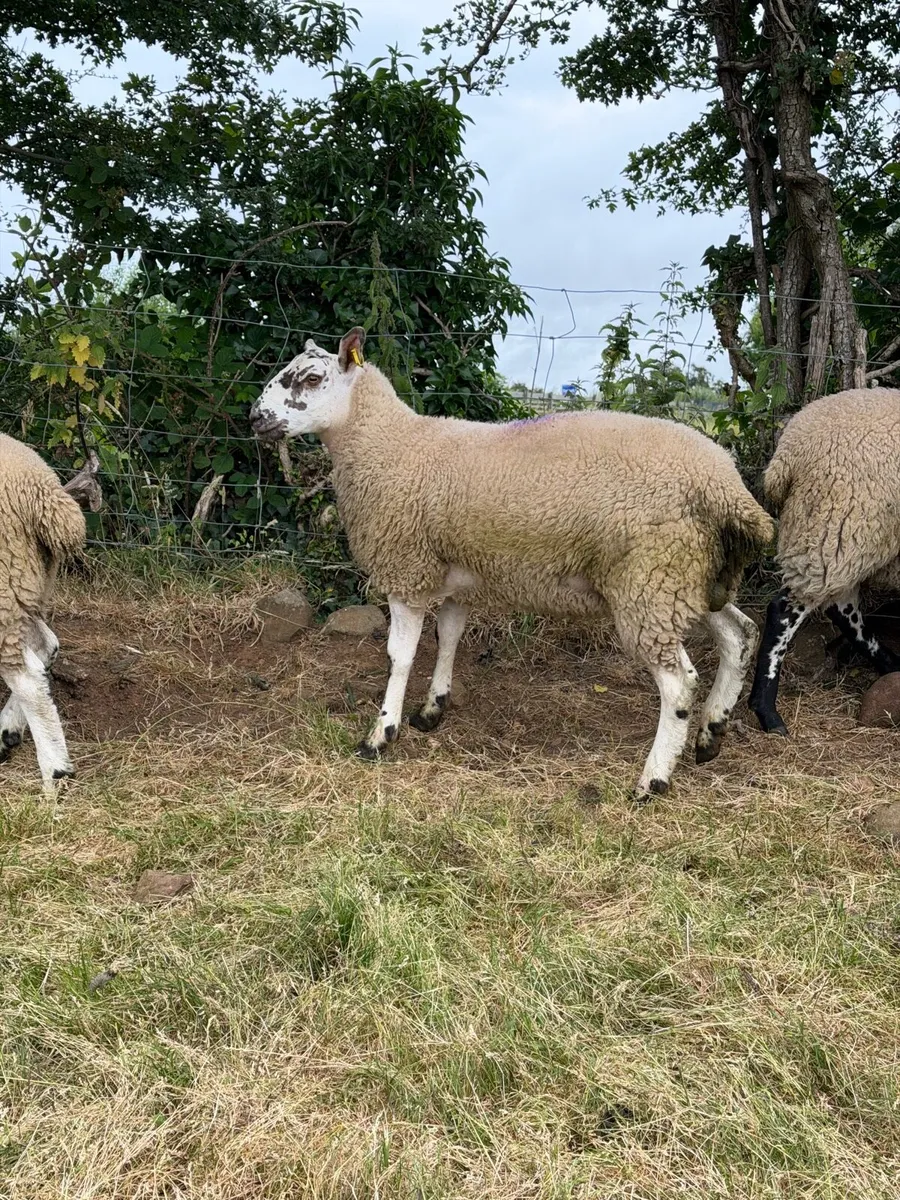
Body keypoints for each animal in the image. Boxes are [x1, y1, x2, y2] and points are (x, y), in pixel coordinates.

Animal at [250, 327, 775, 799]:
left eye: (312, 378)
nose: (255, 417)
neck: (389, 445)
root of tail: (727, 487)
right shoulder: (457, 576)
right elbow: (448, 640)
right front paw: (432, 710)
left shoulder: (406, 570)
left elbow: (399, 657)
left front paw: (381, 735)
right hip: (689, 579)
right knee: (741, 636)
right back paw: (710, 734)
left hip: (649, 582)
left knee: (679, 684)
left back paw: (654, 779)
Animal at [749, 385, 900, 735]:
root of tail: (788, 452)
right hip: (837, 524)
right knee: (785, 610)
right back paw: (768, 713)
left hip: (841, 536)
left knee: (843, 608)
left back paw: (890, 664)